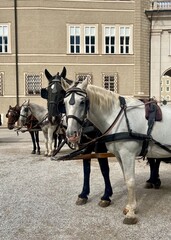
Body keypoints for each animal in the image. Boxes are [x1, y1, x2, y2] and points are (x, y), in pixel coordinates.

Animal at [61, 78, 171, 224]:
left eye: (82, 102)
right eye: (64, 102)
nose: (71, 134)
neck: (119, 117)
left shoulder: (128, 154)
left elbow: (130, 181)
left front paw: (131, 213)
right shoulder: (119, 155)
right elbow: (125, 178)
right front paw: (130, 206)